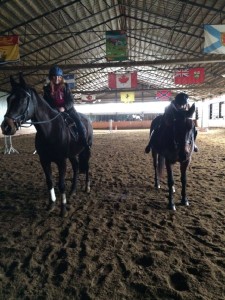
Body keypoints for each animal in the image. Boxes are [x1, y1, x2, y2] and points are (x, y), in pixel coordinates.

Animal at [0, 74, 92, 216]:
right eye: (9, 99)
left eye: (24, 99)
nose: (6, 127)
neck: (50, 129)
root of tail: (87, 119)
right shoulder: (44, 160)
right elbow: (49, 182)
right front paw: (51, 204)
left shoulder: (61, 161)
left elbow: (61, 184)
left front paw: (63, 209)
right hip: (72, 154)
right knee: (76, 167)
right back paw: (72, 191)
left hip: (86, 150)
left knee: (86, 167)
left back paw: (87, 187)